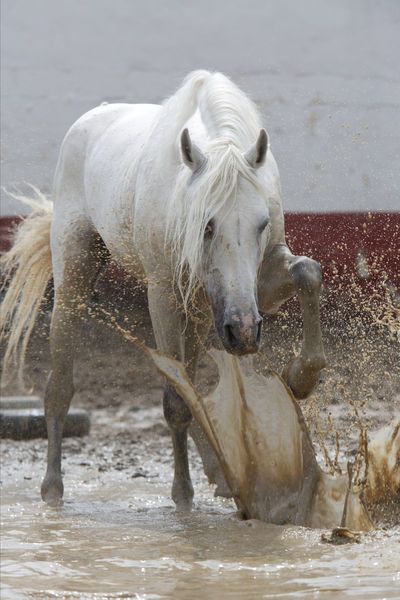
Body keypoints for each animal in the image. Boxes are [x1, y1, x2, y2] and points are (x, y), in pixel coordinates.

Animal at [0, 72, 326, 508]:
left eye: (260, 224)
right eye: (207, 225)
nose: (243, 331)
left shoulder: (259, 282)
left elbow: (308, 272)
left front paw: (302, 376)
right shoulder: (166, 296)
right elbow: (176, 399)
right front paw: (183, 496)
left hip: (203, 313)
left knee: (192, 381)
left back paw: (220, 474)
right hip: (75, 278)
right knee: (61, 386)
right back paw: (53, 488)